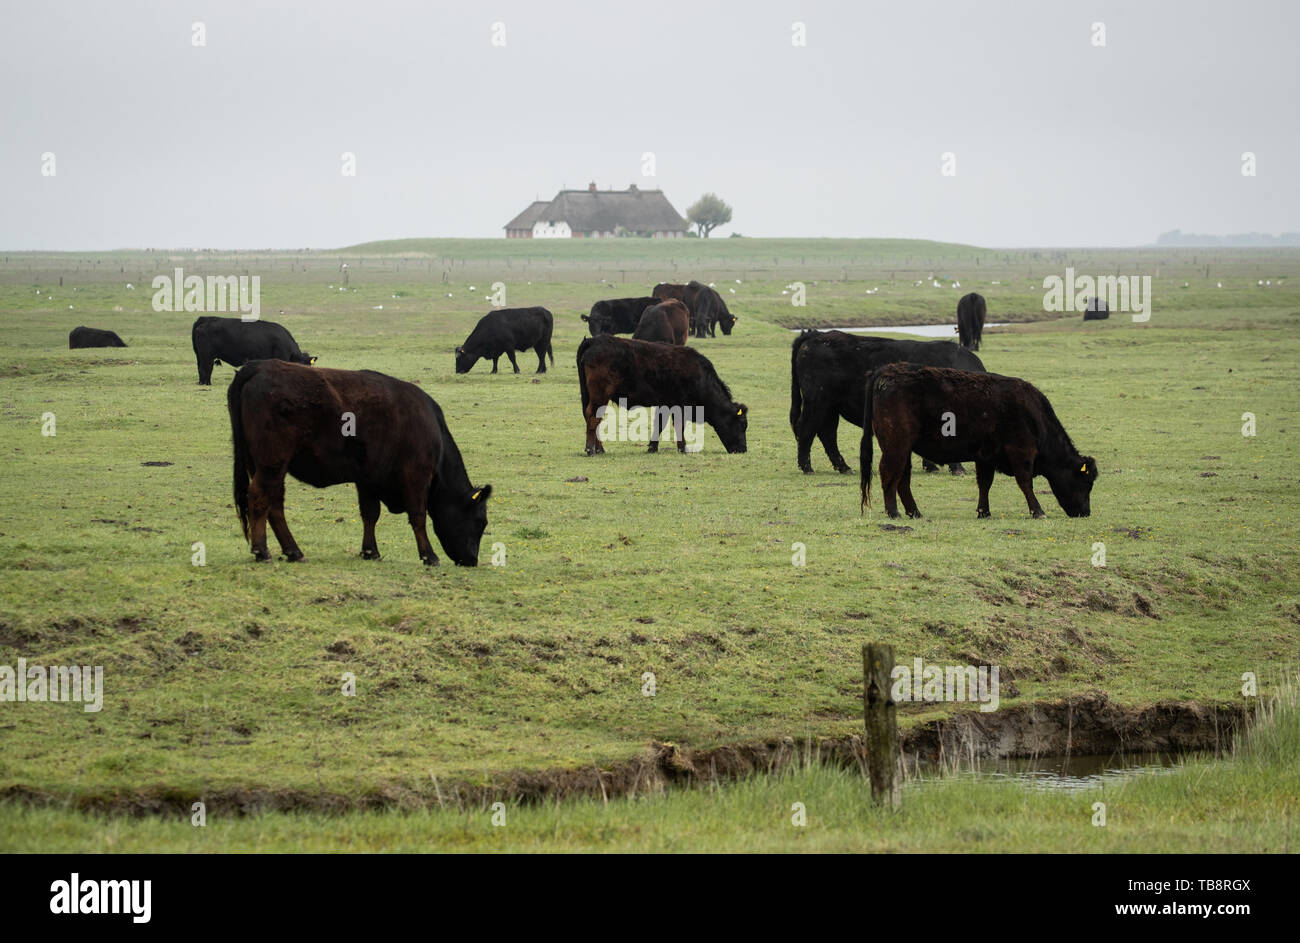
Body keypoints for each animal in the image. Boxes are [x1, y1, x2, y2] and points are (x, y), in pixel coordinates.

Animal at [226, 358, 488, 567]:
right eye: (480, 522)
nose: (472, 561)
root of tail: (259, 366)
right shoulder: (417, 474)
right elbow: (418, 516)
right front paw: (429, 556)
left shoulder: (368, 478)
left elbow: (370, 514)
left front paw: (370, 551)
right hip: (272, 463)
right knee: (260, 497)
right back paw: (262, 551)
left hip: (266, 466)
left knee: (275, 503)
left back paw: (293, 551)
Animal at [574, 335, 748, 455]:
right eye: (742, 425)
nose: (743, 449)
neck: (700, 376)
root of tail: (593, 340)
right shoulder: (680, 405)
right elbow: (679, 425)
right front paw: (683, 448)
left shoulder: (665, 404)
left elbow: (659, 424)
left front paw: (652, 447)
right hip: (600, 395)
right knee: (593, 417)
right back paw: (591, 449)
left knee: (592, 418)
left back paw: (599, 449)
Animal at [790, 332, 982, 478]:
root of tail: (817, 335)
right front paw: (956, 468)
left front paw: (932, 466)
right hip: (817, 402)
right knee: (807, 429)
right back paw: (807, 468)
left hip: (830, 407)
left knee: (827, 434)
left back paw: (844, 467)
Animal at [863, 364, 1097, 517]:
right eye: (1086, 482)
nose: (1085, 512)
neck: (1034, 416)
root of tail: (889, 371)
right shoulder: (1022, 452)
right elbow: (1025, 482)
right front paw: (1037, 511)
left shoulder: (986, 457)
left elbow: (985, 483)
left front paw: (984, 512)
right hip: (896, 446)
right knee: (889, 473)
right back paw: (893, 512)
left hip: (904, 449)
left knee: (902, 478)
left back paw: (914, 512)